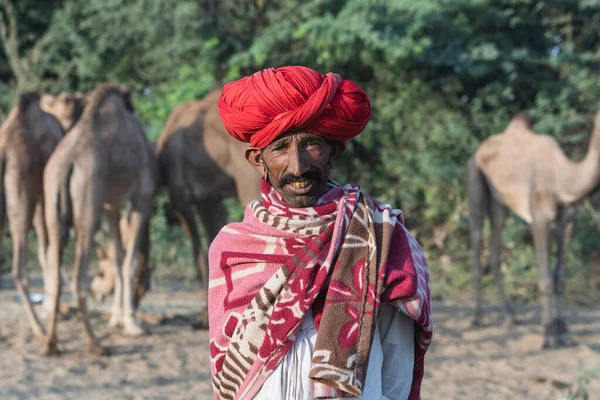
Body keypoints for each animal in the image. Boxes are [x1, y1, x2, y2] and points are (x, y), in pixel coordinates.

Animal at [0, 93, 64, 340]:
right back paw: (39, 329)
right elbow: (48, 247)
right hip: (21, 197)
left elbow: (44, 248)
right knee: (18, 268)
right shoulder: (44, 192)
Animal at [41, 83, 156, 354]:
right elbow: (130, 261)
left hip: (53, 206)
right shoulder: (142, 196)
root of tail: (67, 164)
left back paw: (51, 344)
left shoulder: (110, 205)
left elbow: (118, 258)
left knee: (56, 276)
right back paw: (96, 344)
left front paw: (117, 318)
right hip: (88, 213)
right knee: (76, 279)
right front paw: (132, 323)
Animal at [468, 111, 600, 348]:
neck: (563, 177)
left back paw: (510, 316)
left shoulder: (568, 220)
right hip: (475, 179)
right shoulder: (539, 218)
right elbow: (546, 279)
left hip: (500, 205)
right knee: (476, 240)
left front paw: (563, 332)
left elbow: (560, 278)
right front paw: (548, 335)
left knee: (495, 251)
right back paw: (477, 319)